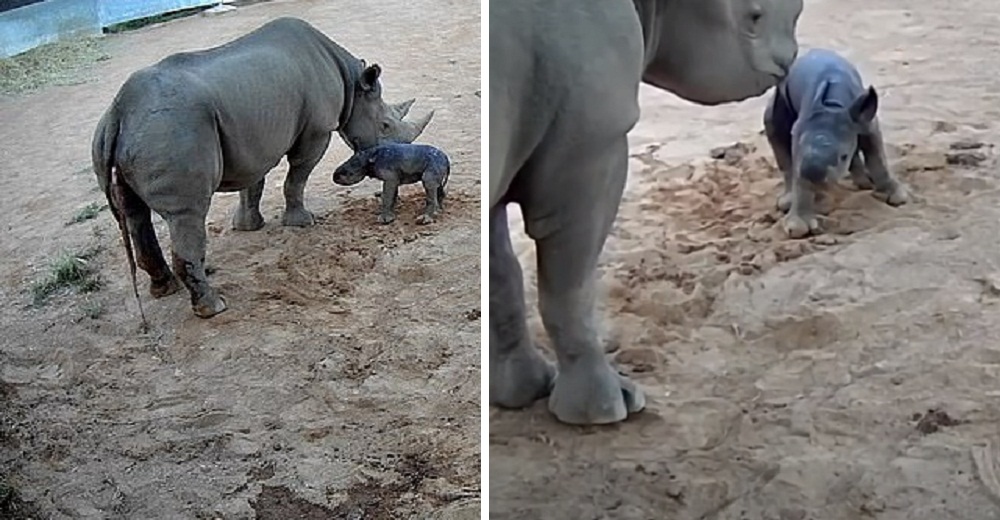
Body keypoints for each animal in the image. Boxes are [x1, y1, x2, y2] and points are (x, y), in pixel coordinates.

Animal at [94, 16, 434, 318]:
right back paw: (213, 307)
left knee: (134, 213)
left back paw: (165, 289)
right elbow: (297, 177)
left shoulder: (251, 139)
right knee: (186, 214)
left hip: (138, 133)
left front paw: (248, 226)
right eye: (386, 125)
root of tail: (120, 112)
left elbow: (252, 183)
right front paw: (302, 222)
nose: (399, 156)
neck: (351, 81)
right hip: (173, 130)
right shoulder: (316, 131)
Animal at [490, 0, 804, 422]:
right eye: (754, 16)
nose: (788, 61)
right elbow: (571, 284)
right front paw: (607, 410)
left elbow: (502, 272)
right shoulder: (592, 148)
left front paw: (522, 391)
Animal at [760, 47, 912, 239]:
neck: (832, 106)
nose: (814, 176)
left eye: (843, 157)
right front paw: (798, 227)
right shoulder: (800, 131)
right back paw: (788, 202)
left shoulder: (865, 122)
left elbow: (877, 157)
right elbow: (797, 172)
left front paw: (896, 197)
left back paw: (864, 183)